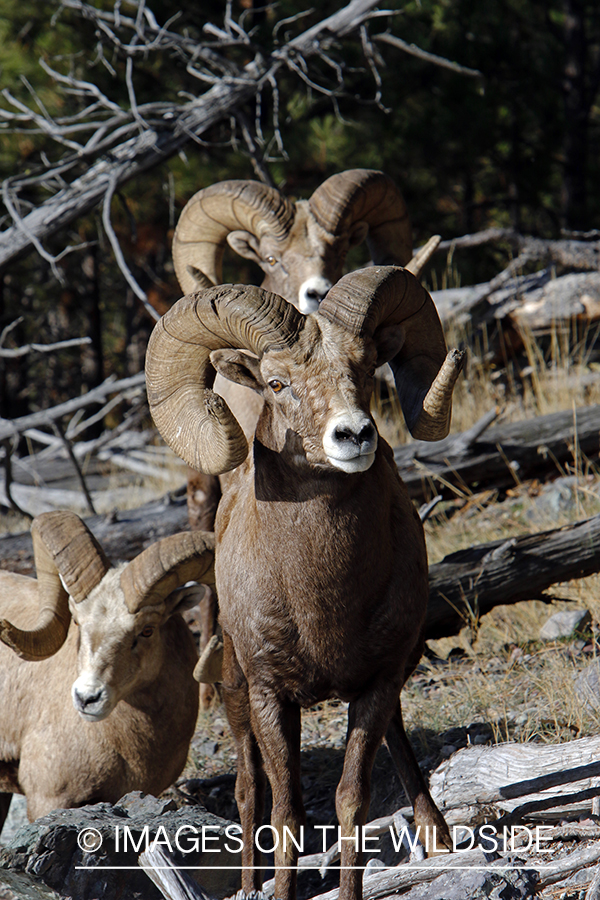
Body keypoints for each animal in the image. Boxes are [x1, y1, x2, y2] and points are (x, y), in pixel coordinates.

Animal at [145, 264, 464, 896]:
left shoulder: (377, 685)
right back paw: (248, 881)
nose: (354, 436)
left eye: (366, 368)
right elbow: (285, 810)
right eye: (275, 382)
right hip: (235, 690)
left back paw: (435, 833)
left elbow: (350, 800)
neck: (321, 601)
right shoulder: (270, 696)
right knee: (248, 791)